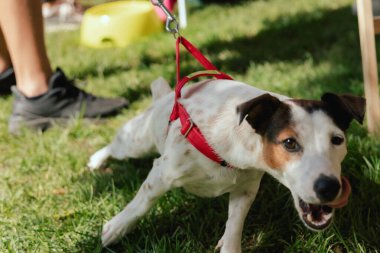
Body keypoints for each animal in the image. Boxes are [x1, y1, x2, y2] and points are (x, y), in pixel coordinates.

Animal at [88, 77, 366, 251]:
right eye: (289, 143)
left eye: (337, 139)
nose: (329, 187)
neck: (234, 146)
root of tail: (166, 95)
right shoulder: (163, 174)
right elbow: (142, 203)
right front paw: (116, 228)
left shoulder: (246, 188)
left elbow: (234, 224)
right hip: (137, 141)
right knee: (117, 144)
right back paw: (97, 159)